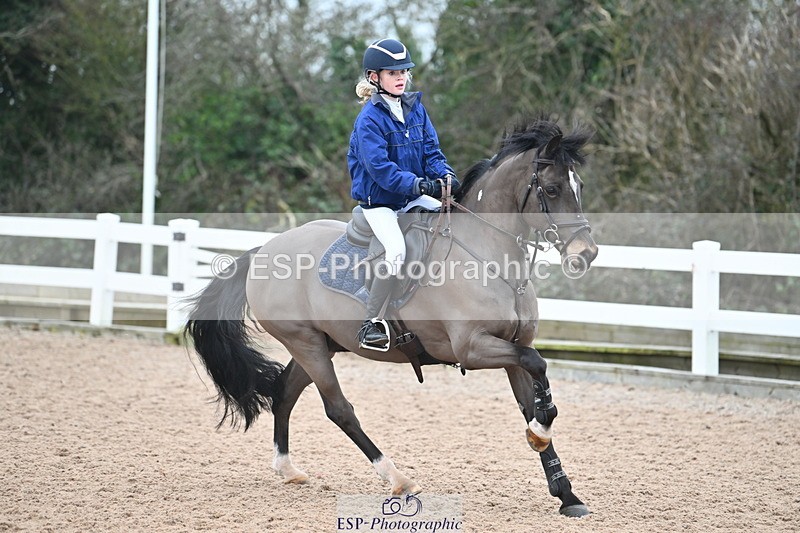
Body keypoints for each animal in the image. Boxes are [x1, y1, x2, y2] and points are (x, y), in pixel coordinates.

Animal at [185, 116, 599, 517]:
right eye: (551, 190)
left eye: (578, 186)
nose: (587, 253)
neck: (488, 259)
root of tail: (264, 249)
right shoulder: (472, 349)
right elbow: (538, 364)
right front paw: (543, 427)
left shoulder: (513, 347)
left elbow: (531, 395)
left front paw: (565, 490)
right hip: (305, 343)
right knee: (339, 409)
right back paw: (398, 479)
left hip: (320, 344)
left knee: (285, 393)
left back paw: (287, 469)